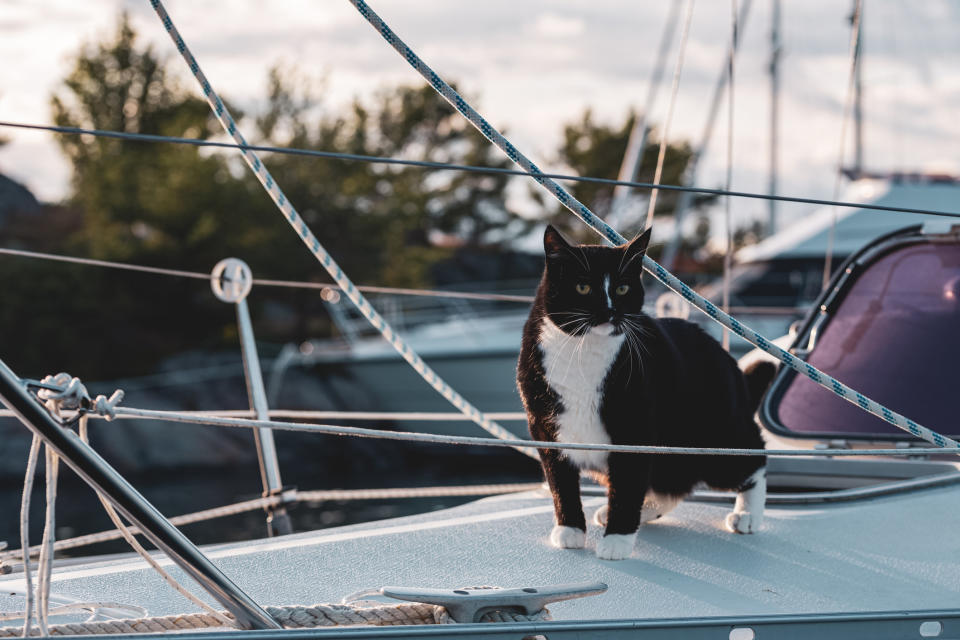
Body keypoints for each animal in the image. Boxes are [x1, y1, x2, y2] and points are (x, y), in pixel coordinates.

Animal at [516, 225, 772, 560]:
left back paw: (747, 514)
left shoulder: (634, 428)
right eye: (583, 287)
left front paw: (617, 540)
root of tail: (729, 362)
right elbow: (561, 483)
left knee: (753, 458)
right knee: (669, 484)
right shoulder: (545, 429)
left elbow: (627, 484)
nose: (610, 312)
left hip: (716, 441)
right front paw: (570, 529)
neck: (583, 351)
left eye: (623, 289)